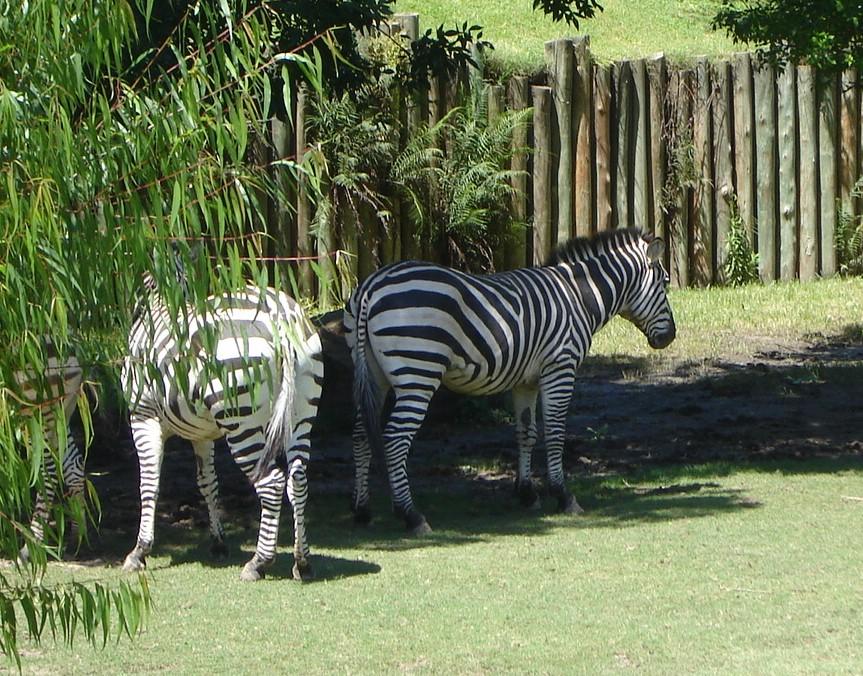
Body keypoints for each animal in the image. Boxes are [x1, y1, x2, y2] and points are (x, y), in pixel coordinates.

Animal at [9, 344, 87, 560]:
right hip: (60, 413)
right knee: (73, 466)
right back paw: (77, 539)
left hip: (35, 413)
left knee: (47, 473)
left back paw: (31, 547)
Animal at [121, 276, 324, 580]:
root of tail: (281, 317)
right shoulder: (202, 434)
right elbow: (208, 483)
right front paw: (218, 543)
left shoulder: (143, 416)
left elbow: (149, 483)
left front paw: (139, 551)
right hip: (301, 413)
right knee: (297, 478)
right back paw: (302, 562)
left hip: (241, 420)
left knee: (272, 482)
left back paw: (258, 563)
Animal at [342, 227, 676, 532]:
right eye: (664, 285)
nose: (670, 337)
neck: (579, 297)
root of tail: (371, 285)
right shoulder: (560, 367)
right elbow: (554, 432)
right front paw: (563, 495)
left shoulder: (525, 380)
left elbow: (525, 432)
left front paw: (527, 493)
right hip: (418, 373)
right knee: (395, 438)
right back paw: (411, 515)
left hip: (372, 374)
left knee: (359, 434)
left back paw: (362, 510)